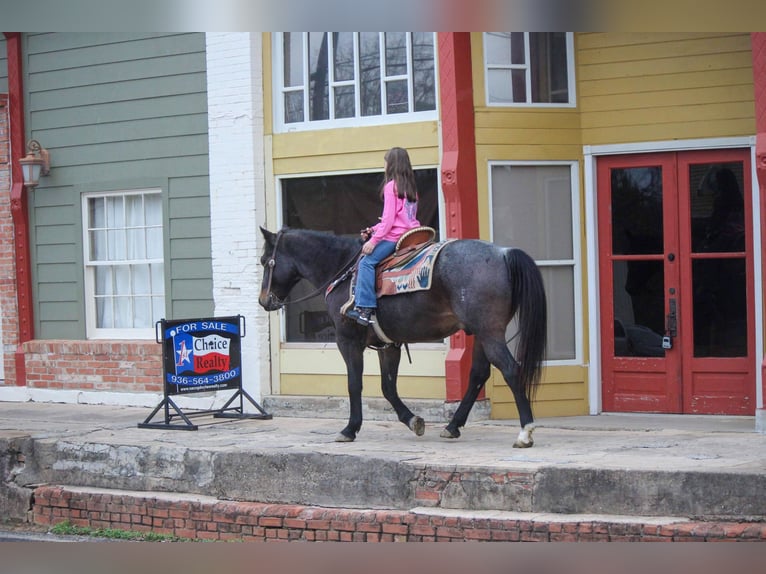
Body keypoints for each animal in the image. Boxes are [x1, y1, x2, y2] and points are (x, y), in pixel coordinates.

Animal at [260, 227, 548, 448]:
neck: (341, 268)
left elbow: (355, 384)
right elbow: (388, 387)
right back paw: (452, 426)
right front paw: (413, 421)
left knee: (510, 369)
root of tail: (504, 253)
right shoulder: (389, 344)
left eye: (264, 261)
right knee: (478, 374)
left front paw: (349, 429)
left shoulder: (347, 340)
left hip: (489, 333)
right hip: (481, 333)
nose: (264, 300)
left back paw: (525, 432)